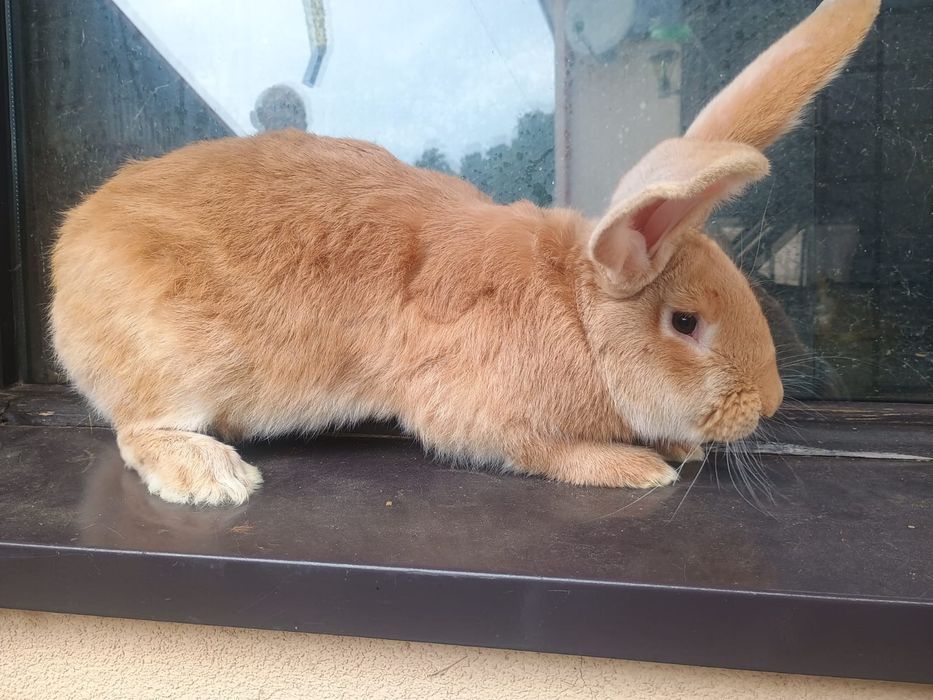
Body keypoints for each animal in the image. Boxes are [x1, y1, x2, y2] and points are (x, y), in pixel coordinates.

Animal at [50, 0, 880, 506]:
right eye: (684, 324)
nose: (766, 403)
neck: (578, 316)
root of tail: (67, 264)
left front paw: (678, 447)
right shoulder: (485, 418)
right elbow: (548, 453)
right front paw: (636, 467)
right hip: (174, 368)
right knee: (137, 431)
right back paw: (211, 475)